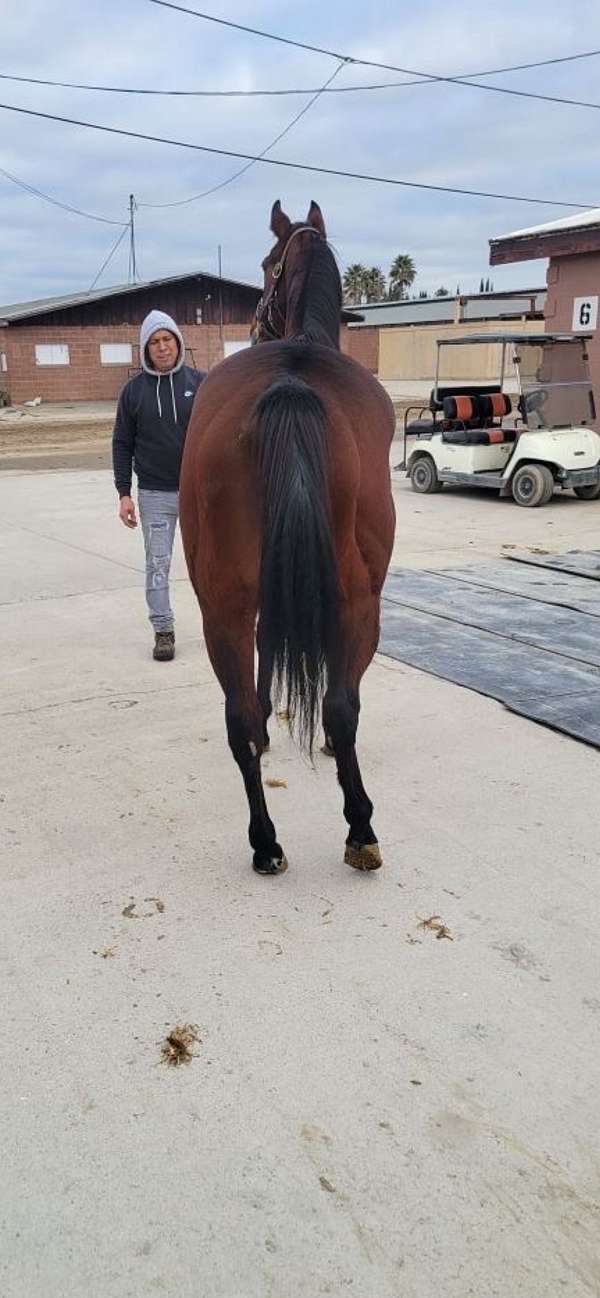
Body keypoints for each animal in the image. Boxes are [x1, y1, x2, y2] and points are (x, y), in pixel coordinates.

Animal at [179, 200, 396, 875]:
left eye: (265, 265)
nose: (255, 324)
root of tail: (288, 385)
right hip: (359, 603)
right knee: (342, 708)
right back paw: (359, 829)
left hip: (221, 605)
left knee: (240, 718)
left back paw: (265, 841)